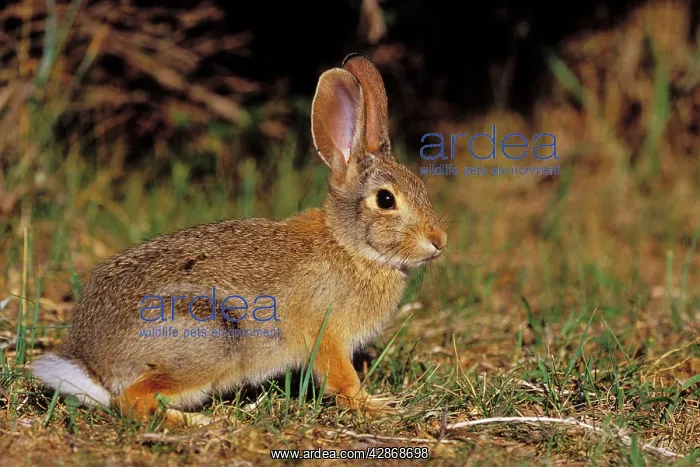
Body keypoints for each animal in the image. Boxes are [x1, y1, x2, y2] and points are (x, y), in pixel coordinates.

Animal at [30, 53, 447, 426]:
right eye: (386, 200)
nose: (439, 241)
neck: (351, 246)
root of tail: (95, 365)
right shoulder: (325, 331)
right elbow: (341, 377)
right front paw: (372, 404)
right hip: (209, 341)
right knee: (131, 401)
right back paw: (194, 422)